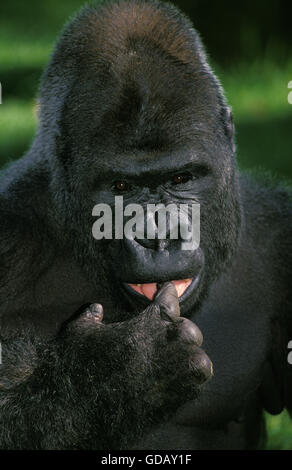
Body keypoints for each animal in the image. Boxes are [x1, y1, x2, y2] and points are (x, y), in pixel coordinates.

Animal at [0, 0, 292, 450]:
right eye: (122, 187)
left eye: (182, 179)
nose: (159, 237)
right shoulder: (10, 242)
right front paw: (118, 371)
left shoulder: (278, 232)